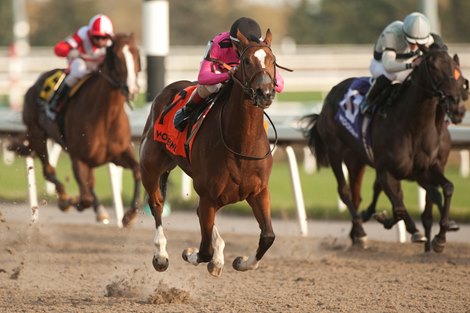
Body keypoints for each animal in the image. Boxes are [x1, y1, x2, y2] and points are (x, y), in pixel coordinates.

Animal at [9, 33, 141, 224]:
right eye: (117, 58)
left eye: (137, 55)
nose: (132, 89)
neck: (106, 117)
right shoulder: (78, 157)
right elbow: (85, 198)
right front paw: (70, 201)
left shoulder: (118, 153)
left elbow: (138, 171)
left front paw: (130, 214)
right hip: (37, 134)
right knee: (49, 171)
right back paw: (65, 199)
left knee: (89, 182)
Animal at [140, 29, 280, 276]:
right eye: (246, 61)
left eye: (273, 61)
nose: (265, 93)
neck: (241, 144)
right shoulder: (207, 196)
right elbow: (203, 250)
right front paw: (191, 253)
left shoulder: (259, 192)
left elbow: (268, 236)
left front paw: (242, 262)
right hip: (150, 166)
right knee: (156, 204)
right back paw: (161, 255)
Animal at [304, 45, 466, 251]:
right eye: (433, 66)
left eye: (457, 69)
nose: (457, 105)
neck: (413, 126)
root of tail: (333, 92)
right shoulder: (387, 171)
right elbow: (399, 207)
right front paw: (408, 228)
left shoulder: (427, 168)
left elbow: (446, 188)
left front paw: (440, 237)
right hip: (335, 151)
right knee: (344, 191)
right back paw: (361, 232)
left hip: (356, 160)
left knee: (357, 195)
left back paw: (357, 233)